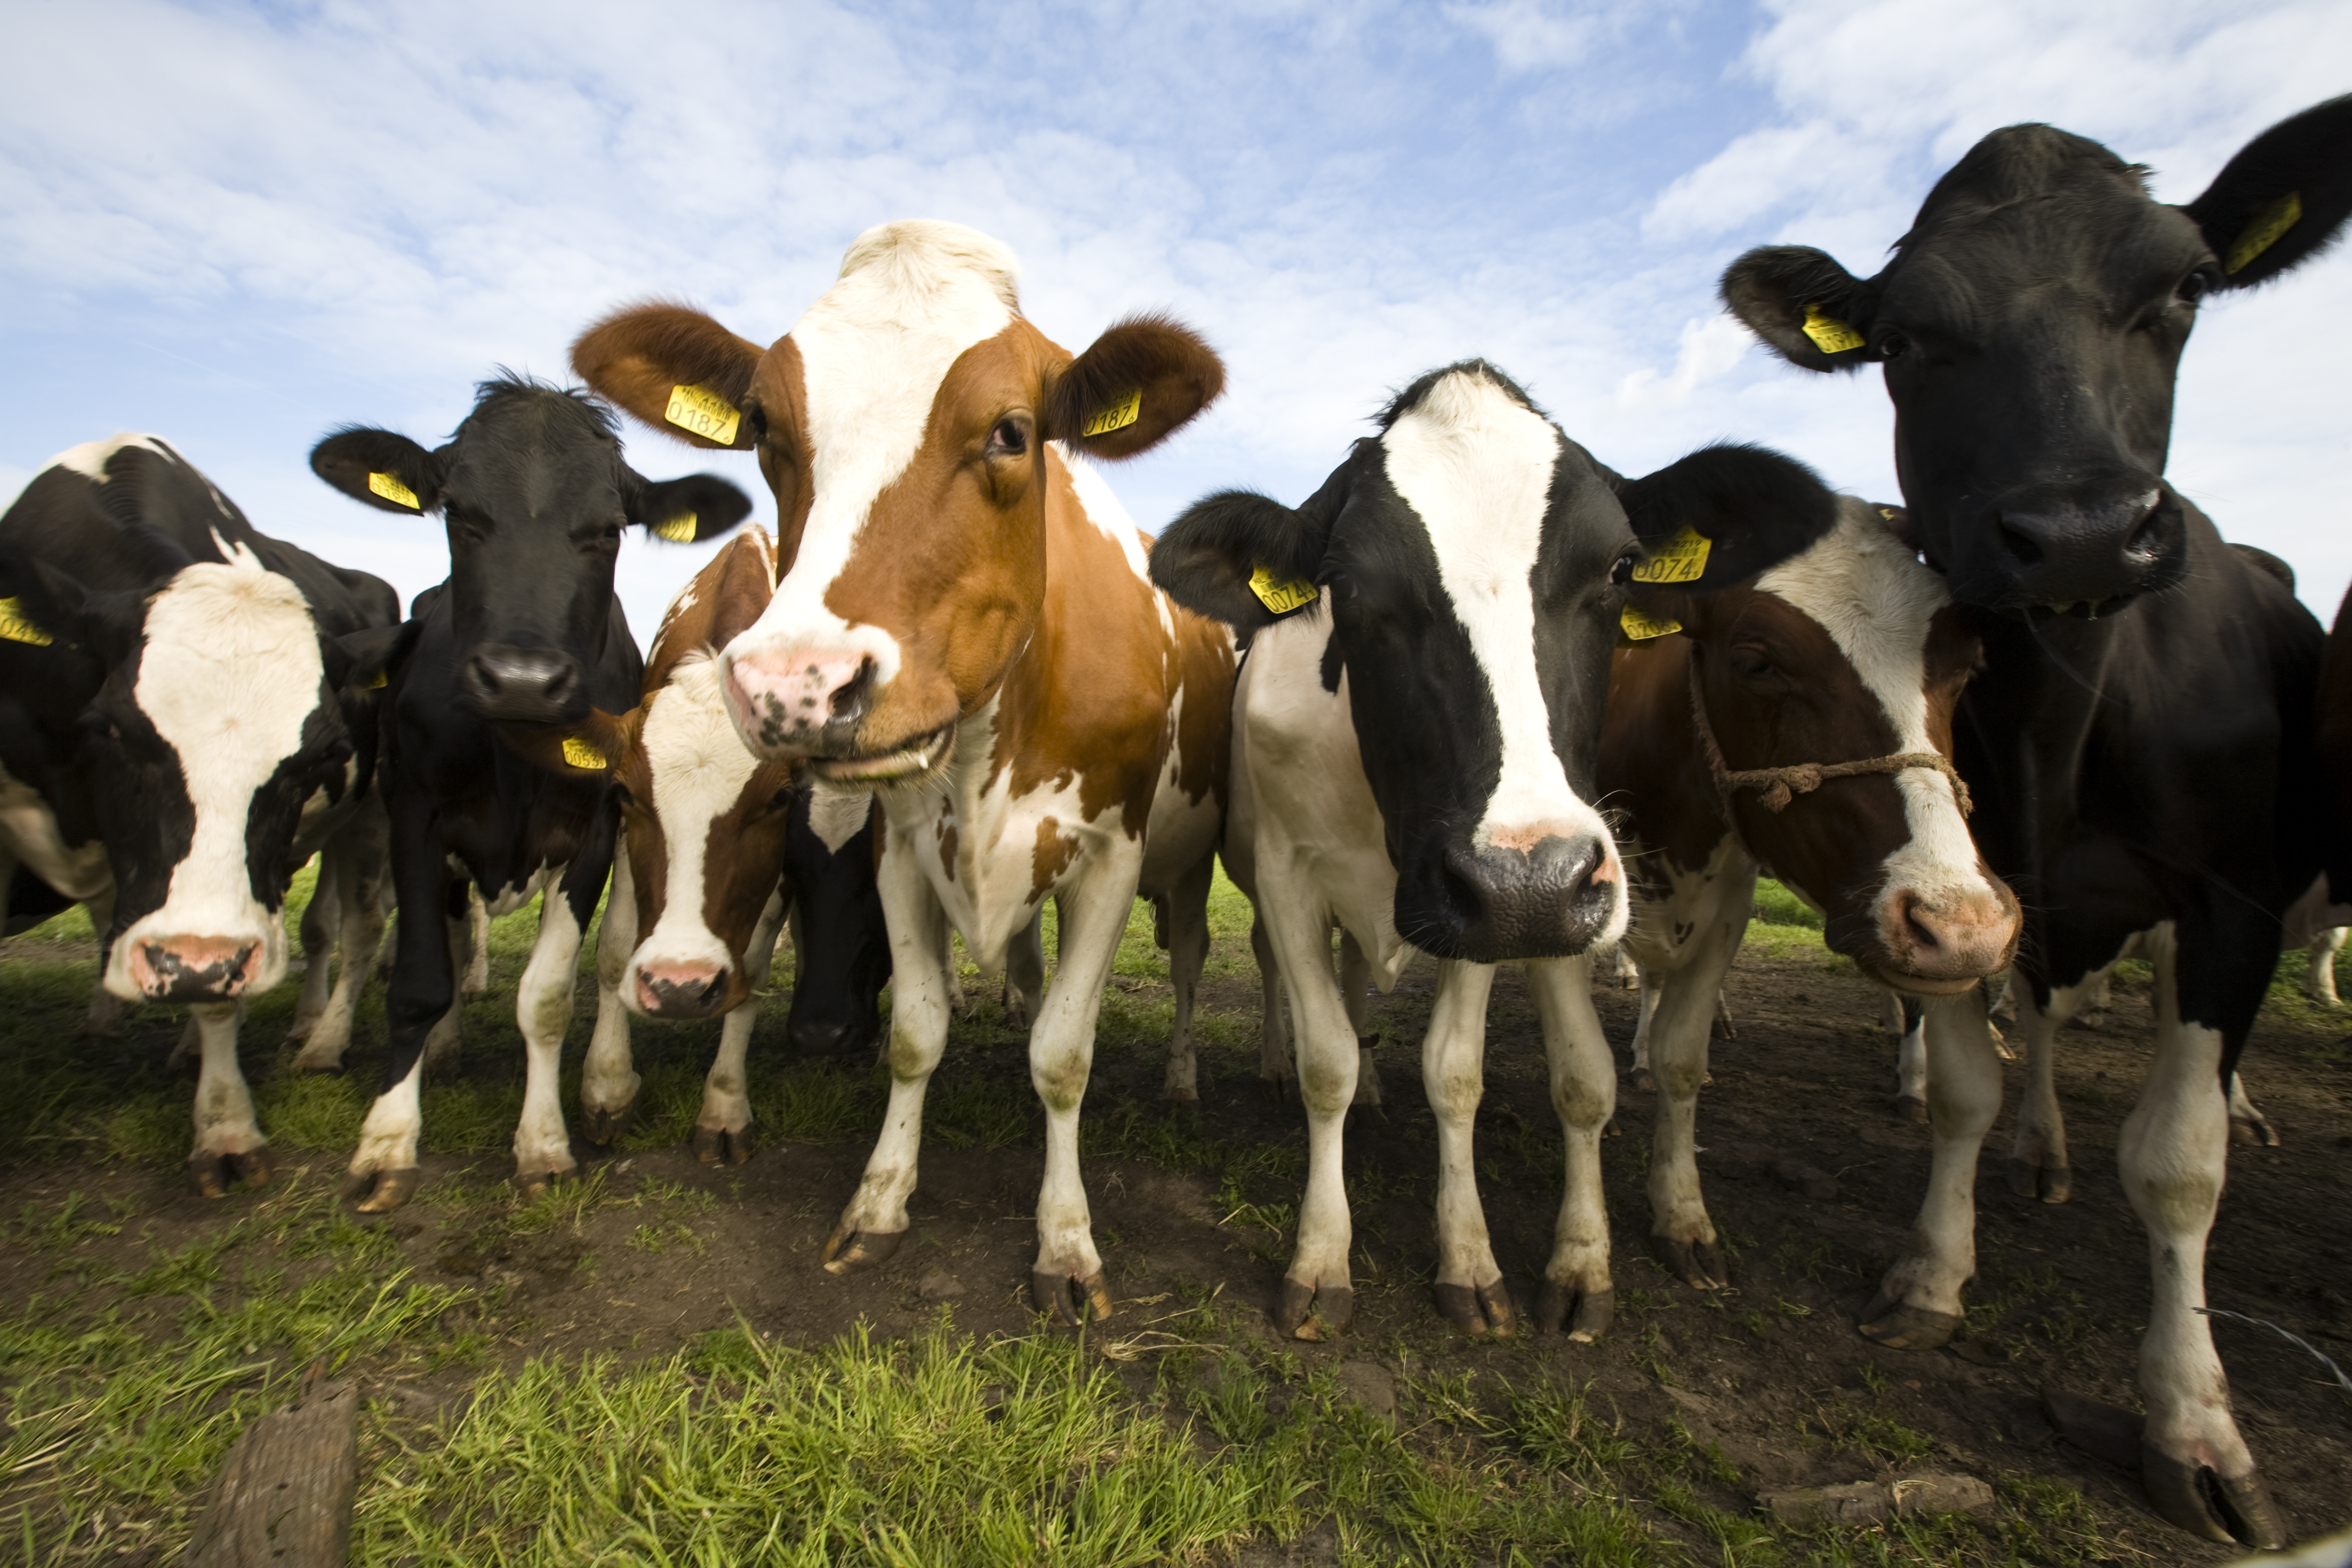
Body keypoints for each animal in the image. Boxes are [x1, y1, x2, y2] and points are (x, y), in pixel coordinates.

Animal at [0, 434, 400, 1194]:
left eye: (325, 750)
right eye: (111, 728)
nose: (190, 962)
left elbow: (225, 994)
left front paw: (225, 1130)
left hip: (361, 818)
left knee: (347, 926)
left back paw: (316, 1034)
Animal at [309, 376, 751, 1212]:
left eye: (609, 529)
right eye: (458, 511)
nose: (521, 678)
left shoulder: (590, 836)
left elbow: (547, 996)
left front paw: (545, 1141)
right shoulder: (415, 821)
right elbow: (417, 981)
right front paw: (386, 1140)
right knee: (447, 944)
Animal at [557, 524, 892, 1164]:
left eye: (777, 799)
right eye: (625, 793)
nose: (679, 987)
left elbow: (752, 970)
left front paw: (724, 1106)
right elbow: (614, 946)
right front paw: (607, 1086)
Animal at [1601, 485, 2020, 1294]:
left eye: (1967, 664)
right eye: (1755, 661)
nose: (1963, 924)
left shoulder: (1727, 901)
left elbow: (1681, 1057)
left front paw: (1682, 1216)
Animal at [1719, 97, 2352, 1546]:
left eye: (2184, 289)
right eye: (1902, 338)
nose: (2078, 531)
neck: (2058, 720)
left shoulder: (2227, 903)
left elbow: (2177, 1163)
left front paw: (2197, 1424)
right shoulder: (1967, 893)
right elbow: (1966, 1080)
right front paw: (1930, 1276)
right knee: (2043, 1022)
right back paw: (2039, 1148)